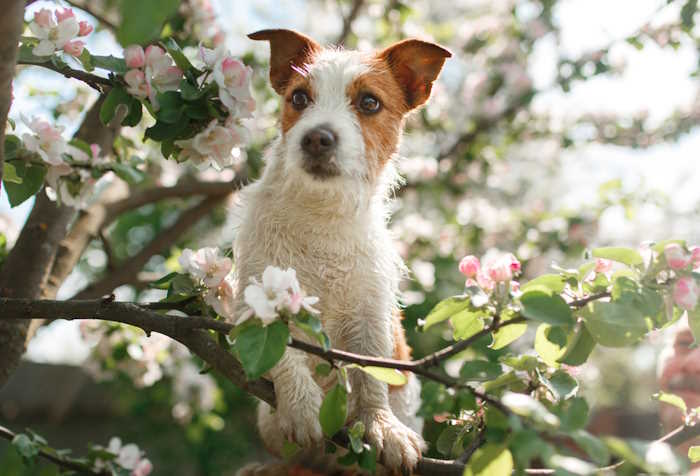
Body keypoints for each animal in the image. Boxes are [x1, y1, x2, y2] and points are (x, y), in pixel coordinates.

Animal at [232, 28, 452, 472]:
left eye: (369, 102)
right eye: (299, 98)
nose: (317, 137)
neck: (323, 214)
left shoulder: (370, 312)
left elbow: (372, 374)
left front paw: (382, 425)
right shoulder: (255, 297)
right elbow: (282, 353)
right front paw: (300, 406)